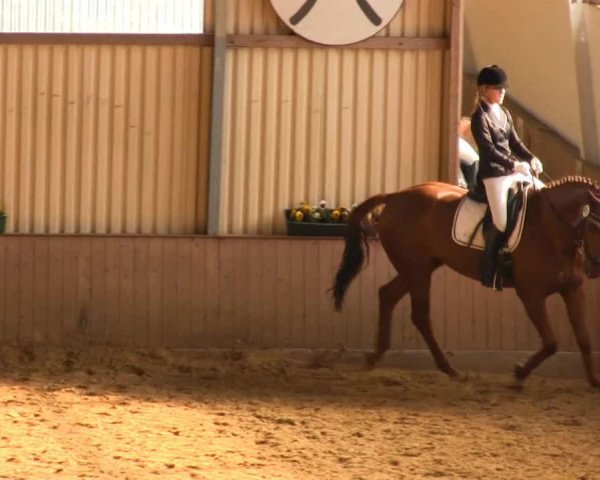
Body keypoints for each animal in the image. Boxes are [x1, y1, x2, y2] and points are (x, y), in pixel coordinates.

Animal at [332, 178, 600, 388]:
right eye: (597, 225)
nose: (595, 268)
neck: (550, 227)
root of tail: (396, 196)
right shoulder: (531, 294)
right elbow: (551, 343)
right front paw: (519, 373)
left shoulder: (572, 289)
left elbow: (585, 339)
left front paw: (594, 381)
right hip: (416, 270)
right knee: (419, 315)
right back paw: (450, 369)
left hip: (420, 268)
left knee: (387, 294)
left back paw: (375, 357)